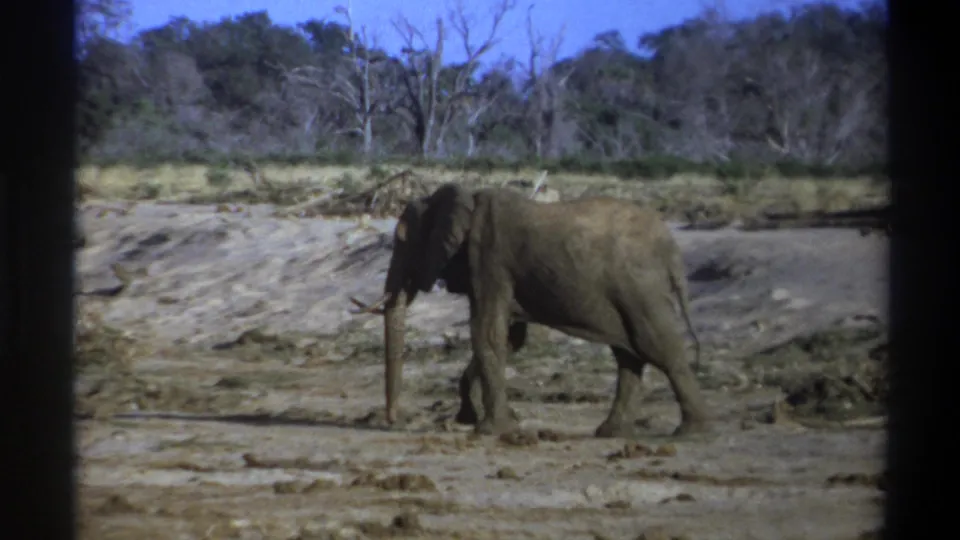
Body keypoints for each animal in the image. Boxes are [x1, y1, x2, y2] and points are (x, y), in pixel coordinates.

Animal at [350, 183, 708, 437]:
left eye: (402, 240)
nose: (392, 422)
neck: (463, 198)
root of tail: (671, 249)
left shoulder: (489, 256)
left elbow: (487, 334)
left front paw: (490, 430)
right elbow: (509, 339)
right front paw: (472, 419)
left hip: (639, 287)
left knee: (656, 347)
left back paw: (691, 432)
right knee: (629, 356)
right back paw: (610, 433)